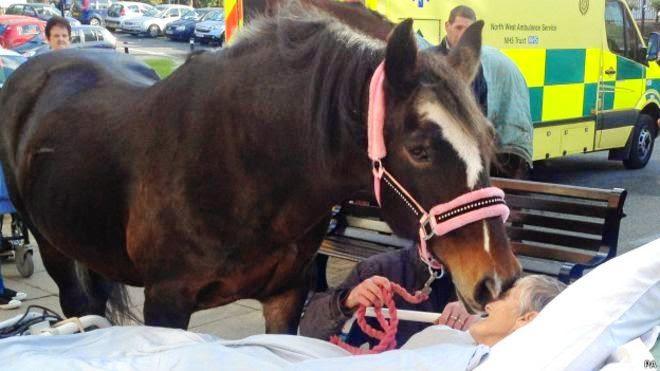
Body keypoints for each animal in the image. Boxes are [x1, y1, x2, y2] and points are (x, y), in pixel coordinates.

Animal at [0, 2, 520, 334]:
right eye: (419, 149)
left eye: (488, 140)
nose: (499, 281)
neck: (245, 165)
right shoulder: (166, 302)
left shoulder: (286, 295)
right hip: (52, 245)